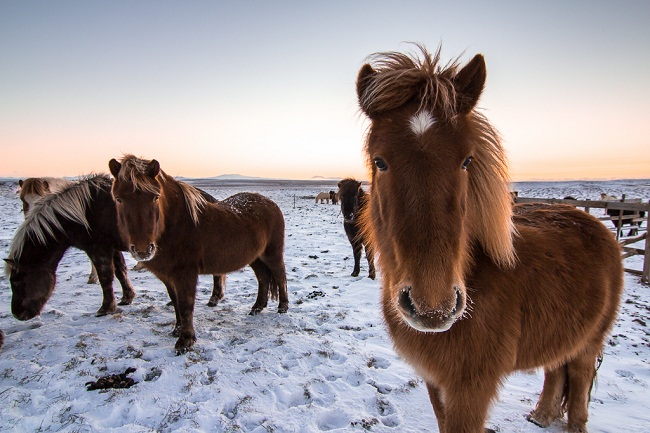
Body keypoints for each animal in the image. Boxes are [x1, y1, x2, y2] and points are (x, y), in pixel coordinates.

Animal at [4, 174, 137, 318]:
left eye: (17, 281)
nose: (17, 314)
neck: (84, 211)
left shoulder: (99, 250)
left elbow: (105, 277)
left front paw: (106, 308)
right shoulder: (112, 248)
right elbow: (120, 270)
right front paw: (127, 297)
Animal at [108, 154, 286, 352]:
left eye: (155, 197)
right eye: (118, 199)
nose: (143, 249)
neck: (176, 226)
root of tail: (271, 204)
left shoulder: (185, 274)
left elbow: (186, 304)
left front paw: (185, 341)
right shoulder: (167, 276)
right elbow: (175, 302)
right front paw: (177, 330)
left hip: (272, 254)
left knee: (280, 275)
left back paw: (282, 307)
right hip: (255, 258)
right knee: (263, 278)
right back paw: (257, 307)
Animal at [354, 45, 624, 430]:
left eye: (467, 160)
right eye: (379, 161)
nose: (432, 307)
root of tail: (596, 226)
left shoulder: (471, 389)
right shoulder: (436, 382)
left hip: (591, 341)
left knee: (580, 375)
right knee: (556, 368)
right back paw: (542, 415)